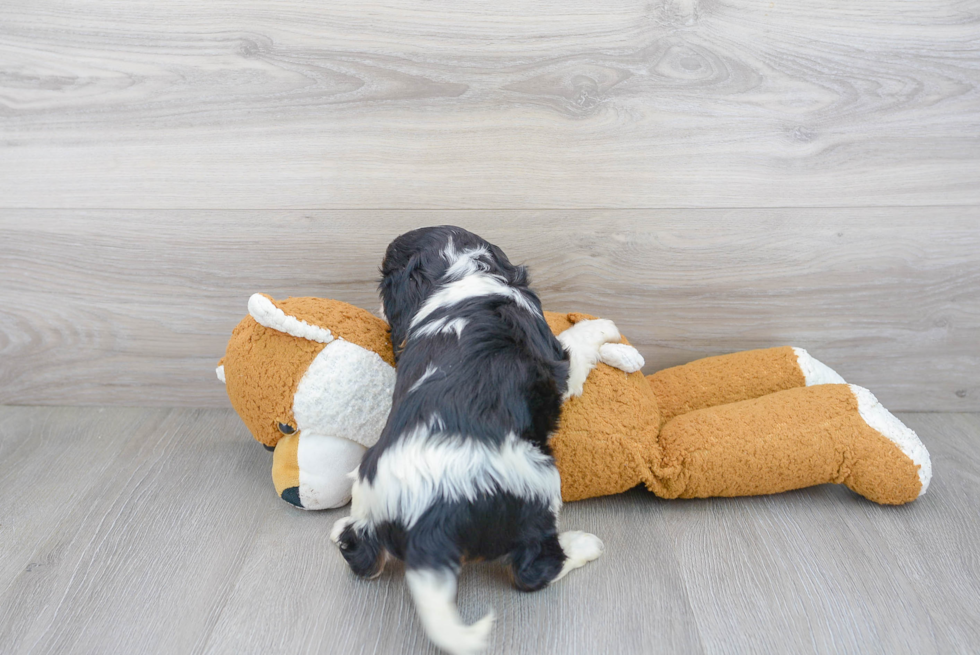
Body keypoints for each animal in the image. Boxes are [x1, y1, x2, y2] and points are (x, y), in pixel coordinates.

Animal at [330, 227, 636, 655]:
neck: (458, 272)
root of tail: (427, 521)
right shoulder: (559, 363)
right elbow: (578, 339)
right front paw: (604, 324)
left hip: (372, 495)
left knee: (362, 557)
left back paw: (342, 528)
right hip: (537, 482)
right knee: (534, 569)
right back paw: (583, 546)